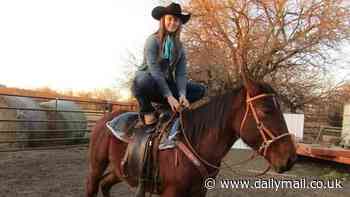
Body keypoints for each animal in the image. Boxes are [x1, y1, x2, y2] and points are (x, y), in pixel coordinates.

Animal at [85, 77, 296, 196]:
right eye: (266, 110)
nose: (290, 158)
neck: (195, 142)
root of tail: (105, 119)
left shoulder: (199, 191)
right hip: (96, 166)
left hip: (121, 170)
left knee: (105, 184)